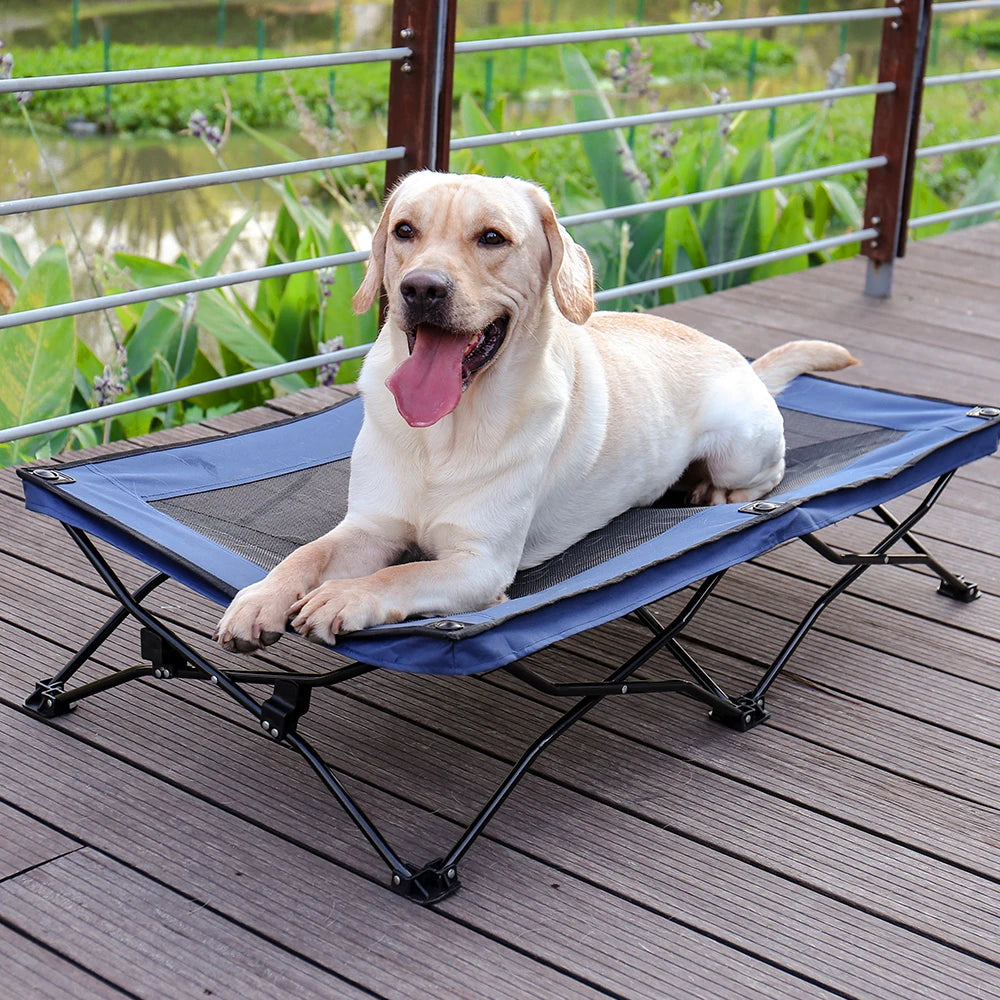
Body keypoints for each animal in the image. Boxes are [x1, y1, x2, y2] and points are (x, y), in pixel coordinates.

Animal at [215, 169, 856, 652]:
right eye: (404, 231)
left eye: (492, 238)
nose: (421, 288)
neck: (444, 434)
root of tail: (744, 363)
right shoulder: (368, 527)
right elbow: (306, 554)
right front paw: (261, 597)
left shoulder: (479, 564)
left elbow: (403, 573)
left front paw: (346, 595)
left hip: (739, 447)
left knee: (764, 474)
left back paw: (714, 491)